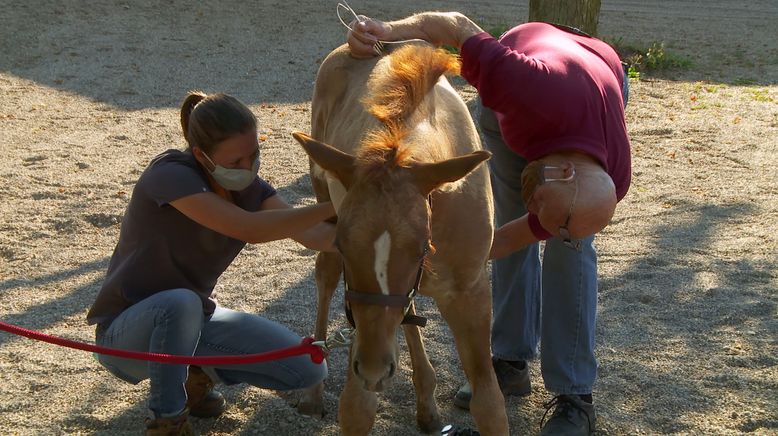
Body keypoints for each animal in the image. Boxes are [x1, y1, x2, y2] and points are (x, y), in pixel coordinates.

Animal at [292, 40, 510, 432]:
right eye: (344, 246)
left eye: (422, 248)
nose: (374, 368)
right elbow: (357, 408)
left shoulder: (470, 294)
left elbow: (490, 406)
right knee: (325, 276)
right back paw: (314, 392)